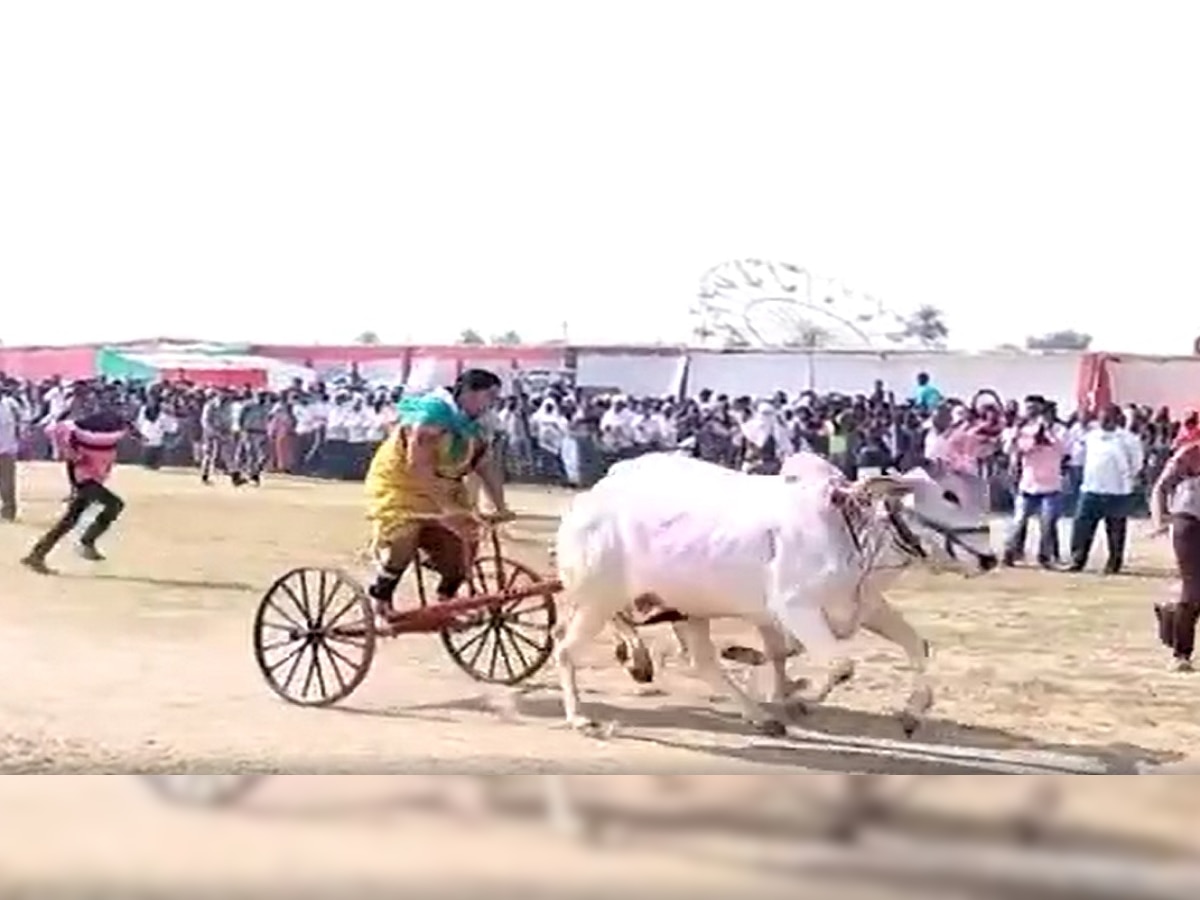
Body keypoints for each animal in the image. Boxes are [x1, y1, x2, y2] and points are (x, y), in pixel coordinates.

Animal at [549, 453, 993, 734]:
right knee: (565, 647)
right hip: (598, 598)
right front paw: (801, 700)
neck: (848, 525)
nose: (990, 558)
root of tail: (587, 499)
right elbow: (839, 666)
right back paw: (581, 715)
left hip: (686, 608)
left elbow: (916, 646)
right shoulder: (795, 608)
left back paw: (758, 716)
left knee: (703, 663)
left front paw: (913, 712)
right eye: (950, 495)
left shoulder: (866, 606)